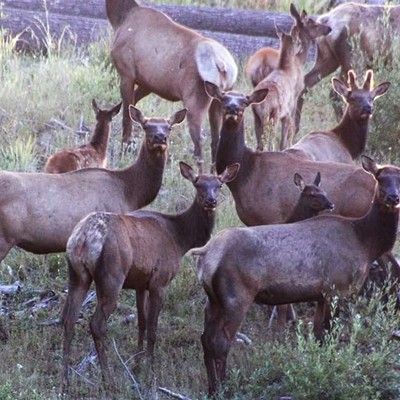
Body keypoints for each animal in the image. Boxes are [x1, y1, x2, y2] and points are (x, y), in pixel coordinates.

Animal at [61, 161, 239, 390]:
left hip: (77, 274)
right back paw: (108, 380)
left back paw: (65, 379)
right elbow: (153, 329)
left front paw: (137, 366)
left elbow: (142, 323)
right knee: (96, 324)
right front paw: (149, 373)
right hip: (111, 275)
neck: (179, 239)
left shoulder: (140, 283)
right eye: (198, 184)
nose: (211, 201)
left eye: (219, 185)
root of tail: (84, 237)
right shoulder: (160, 281)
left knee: (68, 319)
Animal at [106, 0, 238, 170]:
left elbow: (126, 117)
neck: (119, 18)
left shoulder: (127, 74)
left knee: (199, 148)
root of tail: (223, 65)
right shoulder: (148, 84)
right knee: (215, 140)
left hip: (195, 102)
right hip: (219, 100)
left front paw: (124, 151)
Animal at [194, 155, 400, 396]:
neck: (366, 243)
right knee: (221, 341)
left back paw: (211, 388)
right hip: (236, 296)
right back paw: (223, 388)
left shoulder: (322, 294)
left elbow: (319, 334)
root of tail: (206, 254)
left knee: (205, 338)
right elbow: (330, 333)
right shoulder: (338, 288)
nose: (393, 197)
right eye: (380, 177)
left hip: (213, 300)